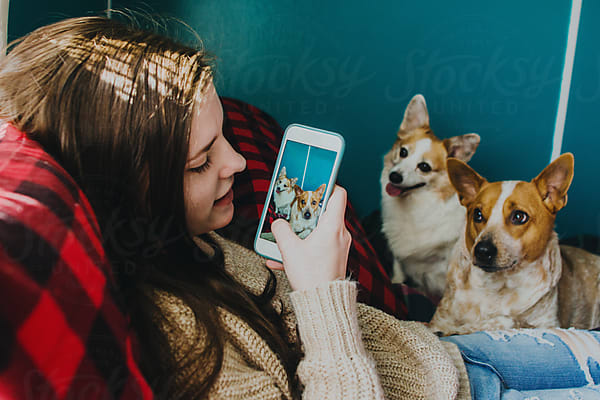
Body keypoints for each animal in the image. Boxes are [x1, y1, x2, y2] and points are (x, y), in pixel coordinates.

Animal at [382, 94, 480, 300]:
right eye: (403, 152)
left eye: (424, 167)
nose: (394, 176)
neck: (415, 204)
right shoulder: (399, 256)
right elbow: (398, 273)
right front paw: (396, 282)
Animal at [428, 155, 600, 336]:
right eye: (477, 215)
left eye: (519, 216)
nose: (482, 250)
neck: (496, 286)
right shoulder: (439, 319)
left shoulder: (548, 325)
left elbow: (505, 320)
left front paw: (462, 329)